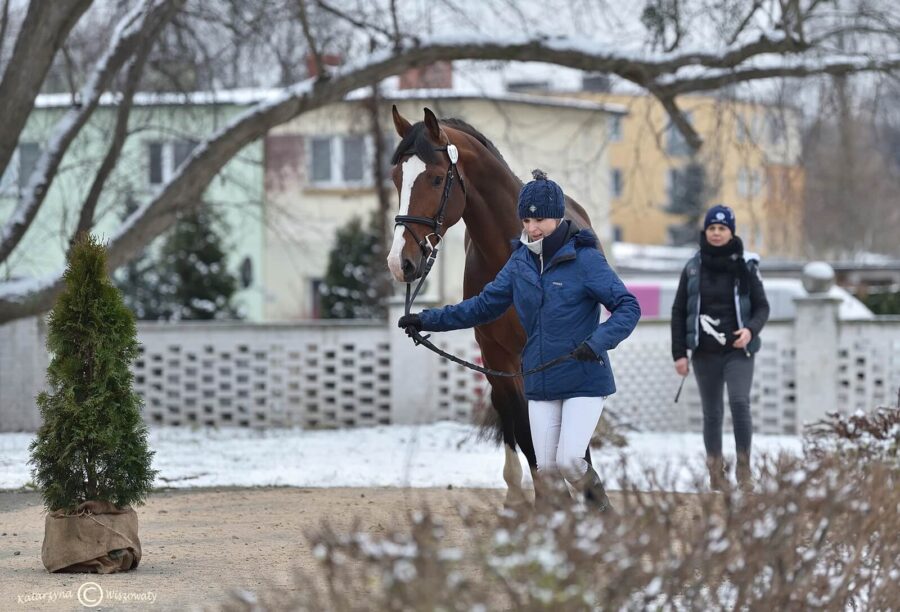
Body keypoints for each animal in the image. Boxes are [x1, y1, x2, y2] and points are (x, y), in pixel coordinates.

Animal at [384, 107, 596, 510]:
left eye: (436, 178)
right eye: (397, 177)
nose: (399, 262)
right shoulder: (496, 355)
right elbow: (524, 428)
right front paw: (544, 501)